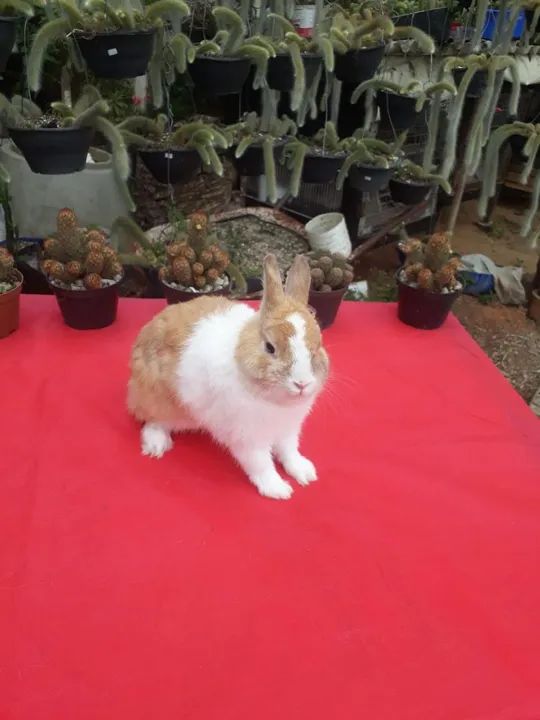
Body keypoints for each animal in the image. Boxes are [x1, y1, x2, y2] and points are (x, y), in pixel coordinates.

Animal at [127, 254, 329, 500]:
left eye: (317, 346)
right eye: (270, 347)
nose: (302, 383)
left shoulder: (288, 430)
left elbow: (289, 452)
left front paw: (305, 473)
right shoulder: (247, 437)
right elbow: (260, 463)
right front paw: (278, 489)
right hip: (160, 399)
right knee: (153, 421)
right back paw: (156, 446)